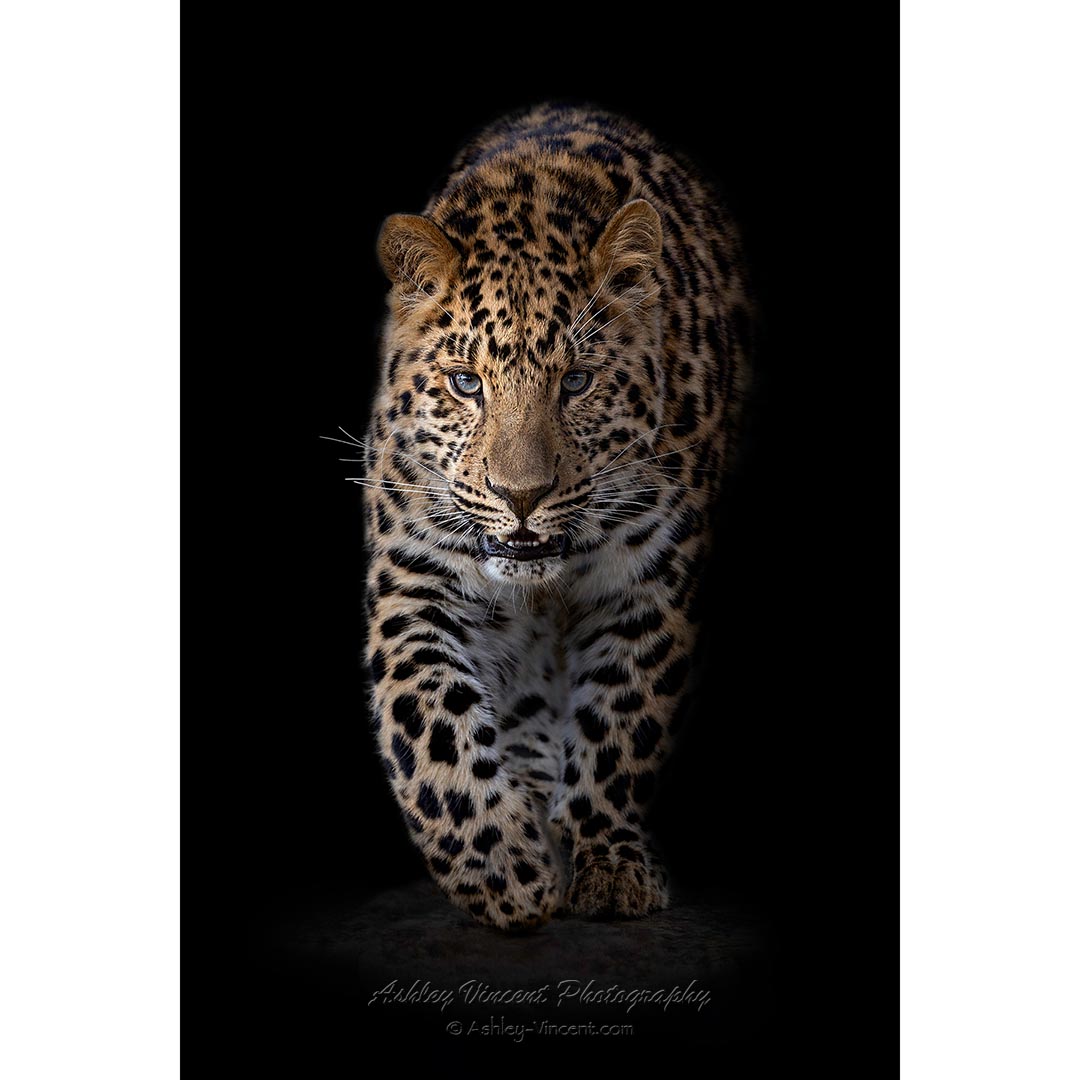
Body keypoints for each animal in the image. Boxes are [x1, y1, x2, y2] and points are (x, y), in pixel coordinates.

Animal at [355, 103, 752, 929]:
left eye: (577, 382)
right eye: (466, 383)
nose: (522, 496)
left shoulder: (650, 584)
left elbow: (622, 719)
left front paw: (606, 863)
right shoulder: (417, 577)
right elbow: (427, 718)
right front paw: (503, 869)